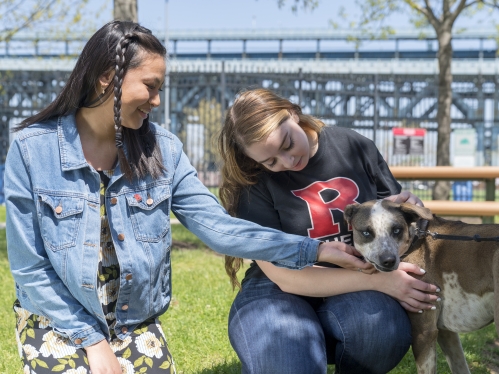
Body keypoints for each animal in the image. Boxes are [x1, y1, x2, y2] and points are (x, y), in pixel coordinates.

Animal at [344, 200, 499, 374]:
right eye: (366, 233)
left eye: (396, 230)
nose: (388, 260)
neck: (414, 239)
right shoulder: (445, 332)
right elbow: (460, 366)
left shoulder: (424, 333)